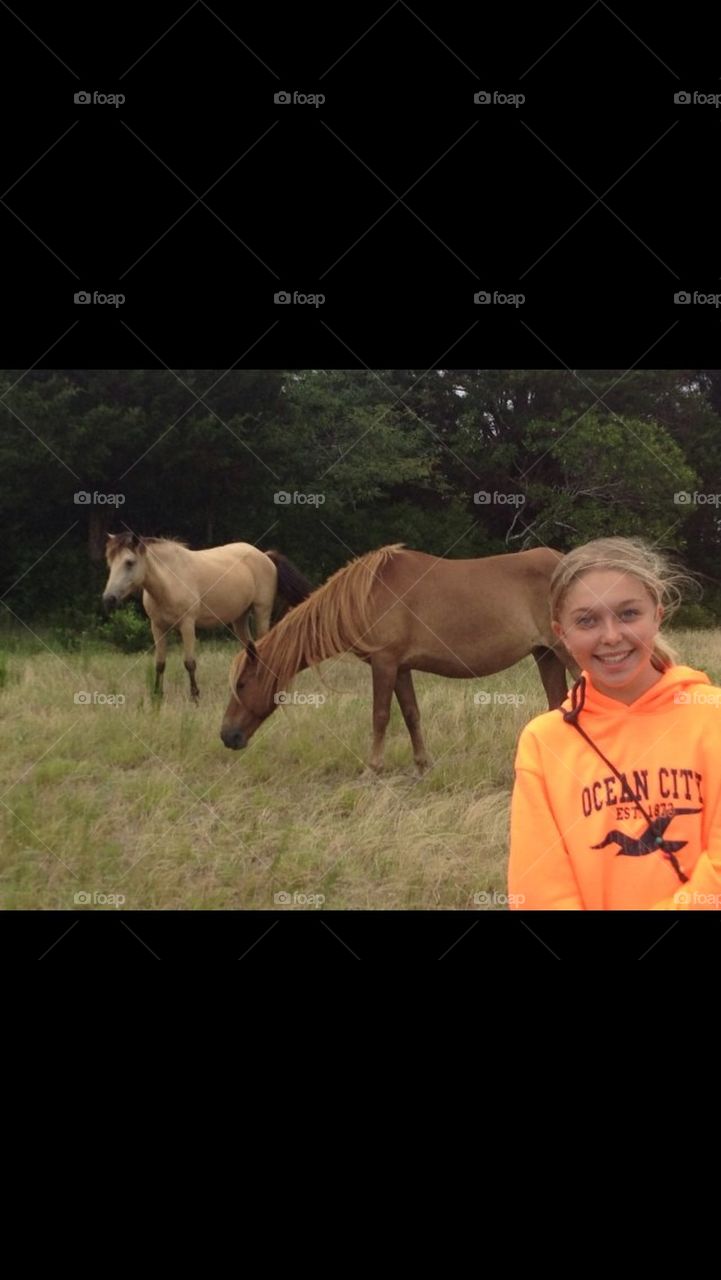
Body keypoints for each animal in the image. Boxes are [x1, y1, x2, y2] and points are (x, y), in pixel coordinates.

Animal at [103, 532, 312, 701]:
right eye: (110, 562)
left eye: (129, 562)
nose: (108, 598)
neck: (170, 579)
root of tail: (265, 556)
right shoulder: (158, 627)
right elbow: (160, 663)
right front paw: (157, 697)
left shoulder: (187, 625)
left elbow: (189, 663)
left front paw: (195, 697)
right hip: (239, 618)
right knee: (252, 651)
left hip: (262, 612)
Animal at [220, 542, 578, 771]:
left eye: (242, 683)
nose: (227, 736)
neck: (364, 596)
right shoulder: (401, 667)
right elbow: (411, 714)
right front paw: (423, 765)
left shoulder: (385, 663)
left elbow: (380, 715)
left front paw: (373, 768)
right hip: (546, 655)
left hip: (566, 654)